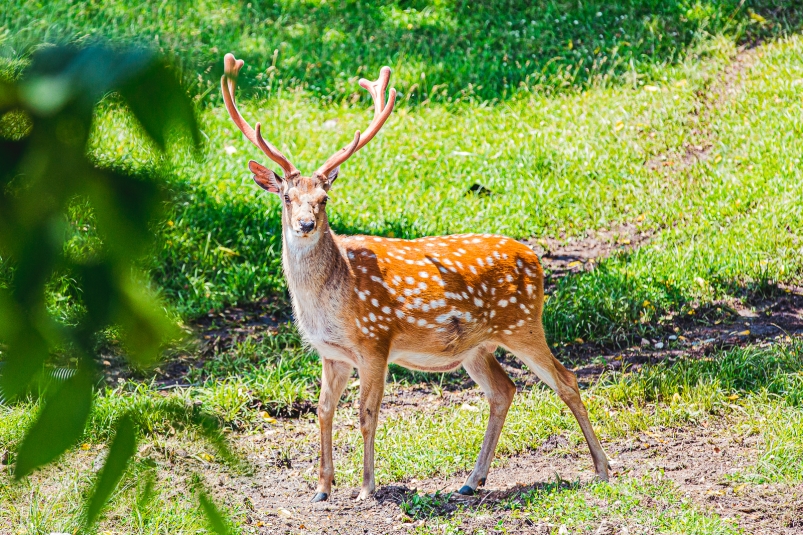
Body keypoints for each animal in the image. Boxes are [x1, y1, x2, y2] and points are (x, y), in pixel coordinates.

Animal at [220, 54, 608, 502]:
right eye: (286, 197)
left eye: (324, 199)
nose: (305, 224)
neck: (329, 299)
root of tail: (536, 260)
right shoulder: (331, 353)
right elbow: (322, 411)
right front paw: (321, 489)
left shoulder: (375, 341)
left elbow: (367, 412)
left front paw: (366, 488)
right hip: (477, 347)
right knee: (504, 390)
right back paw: (471, 480)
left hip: (524, 324)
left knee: (566, 379)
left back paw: (602, 468)